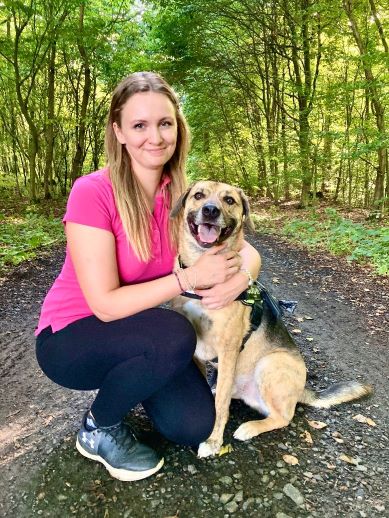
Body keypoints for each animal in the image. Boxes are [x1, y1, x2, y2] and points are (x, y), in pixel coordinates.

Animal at [171, 182, 372, 460]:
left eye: (229, 200)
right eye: (198, 195)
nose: (210, 210)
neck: (202, 277)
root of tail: (303, 389)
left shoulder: (228, 349)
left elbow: (221, 405)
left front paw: (213, 441)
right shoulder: (197, 349)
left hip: (270, 364)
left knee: (281, 417)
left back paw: (249, 428)